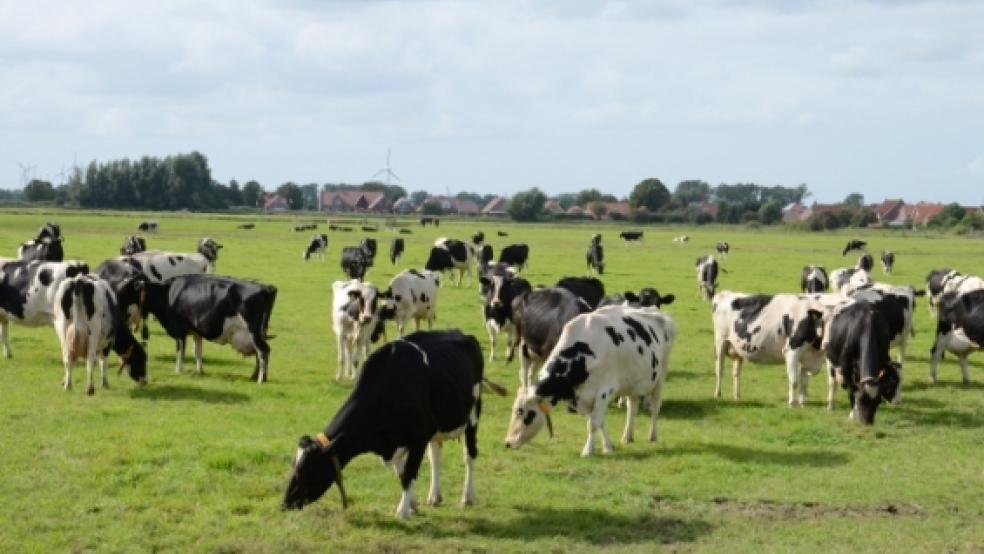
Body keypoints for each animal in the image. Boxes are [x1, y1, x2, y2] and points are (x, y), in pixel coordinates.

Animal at [138, 274, 278, 382]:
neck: (168, 292)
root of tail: (266, 287)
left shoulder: (180, 330)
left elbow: (180, 351)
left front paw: (178, 370)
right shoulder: (196, 331)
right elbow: (197, 351)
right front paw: (200, 371)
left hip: (253, 331)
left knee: (263, 351)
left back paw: (260, 379)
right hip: (260, 332)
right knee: (259, 353)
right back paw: (254, 376)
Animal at [280, 328, 504, 516]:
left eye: (307, 469)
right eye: (293, 465)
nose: (285, 503)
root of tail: (463, 334)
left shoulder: (419, 435)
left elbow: (408, 474)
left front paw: (403, 511)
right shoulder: (398, 442)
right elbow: (402, 471)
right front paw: (413, 505)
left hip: (473, 417)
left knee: (469, 455)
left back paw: (467, 497)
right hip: (438, 429)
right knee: (436, 458)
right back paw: (434, 496)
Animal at [508, 304, 676, 454]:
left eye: (521, 412)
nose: (507, 442)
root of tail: (658, 312)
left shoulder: (604, 391)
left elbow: (594, 423)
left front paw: (588, 450)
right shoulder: (584, 397)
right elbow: (599, 421)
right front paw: (608, 447)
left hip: (660, 377)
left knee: (655, 407)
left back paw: (652, 436)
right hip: (632, 384)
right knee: (632, 409)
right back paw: (627, 436)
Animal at [708, 288, 836, 406]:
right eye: (823, 323)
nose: (827, 343)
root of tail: (725, 293)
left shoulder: (809, 358)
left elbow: (804, 381)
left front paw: (802, 403)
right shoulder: (791, 351)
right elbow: (794, 380)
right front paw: (792, 403)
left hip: (738, 348)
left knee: (736, 373)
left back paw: (737, 396)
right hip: (720, 342)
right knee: (719, 369)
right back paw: (717, 394)